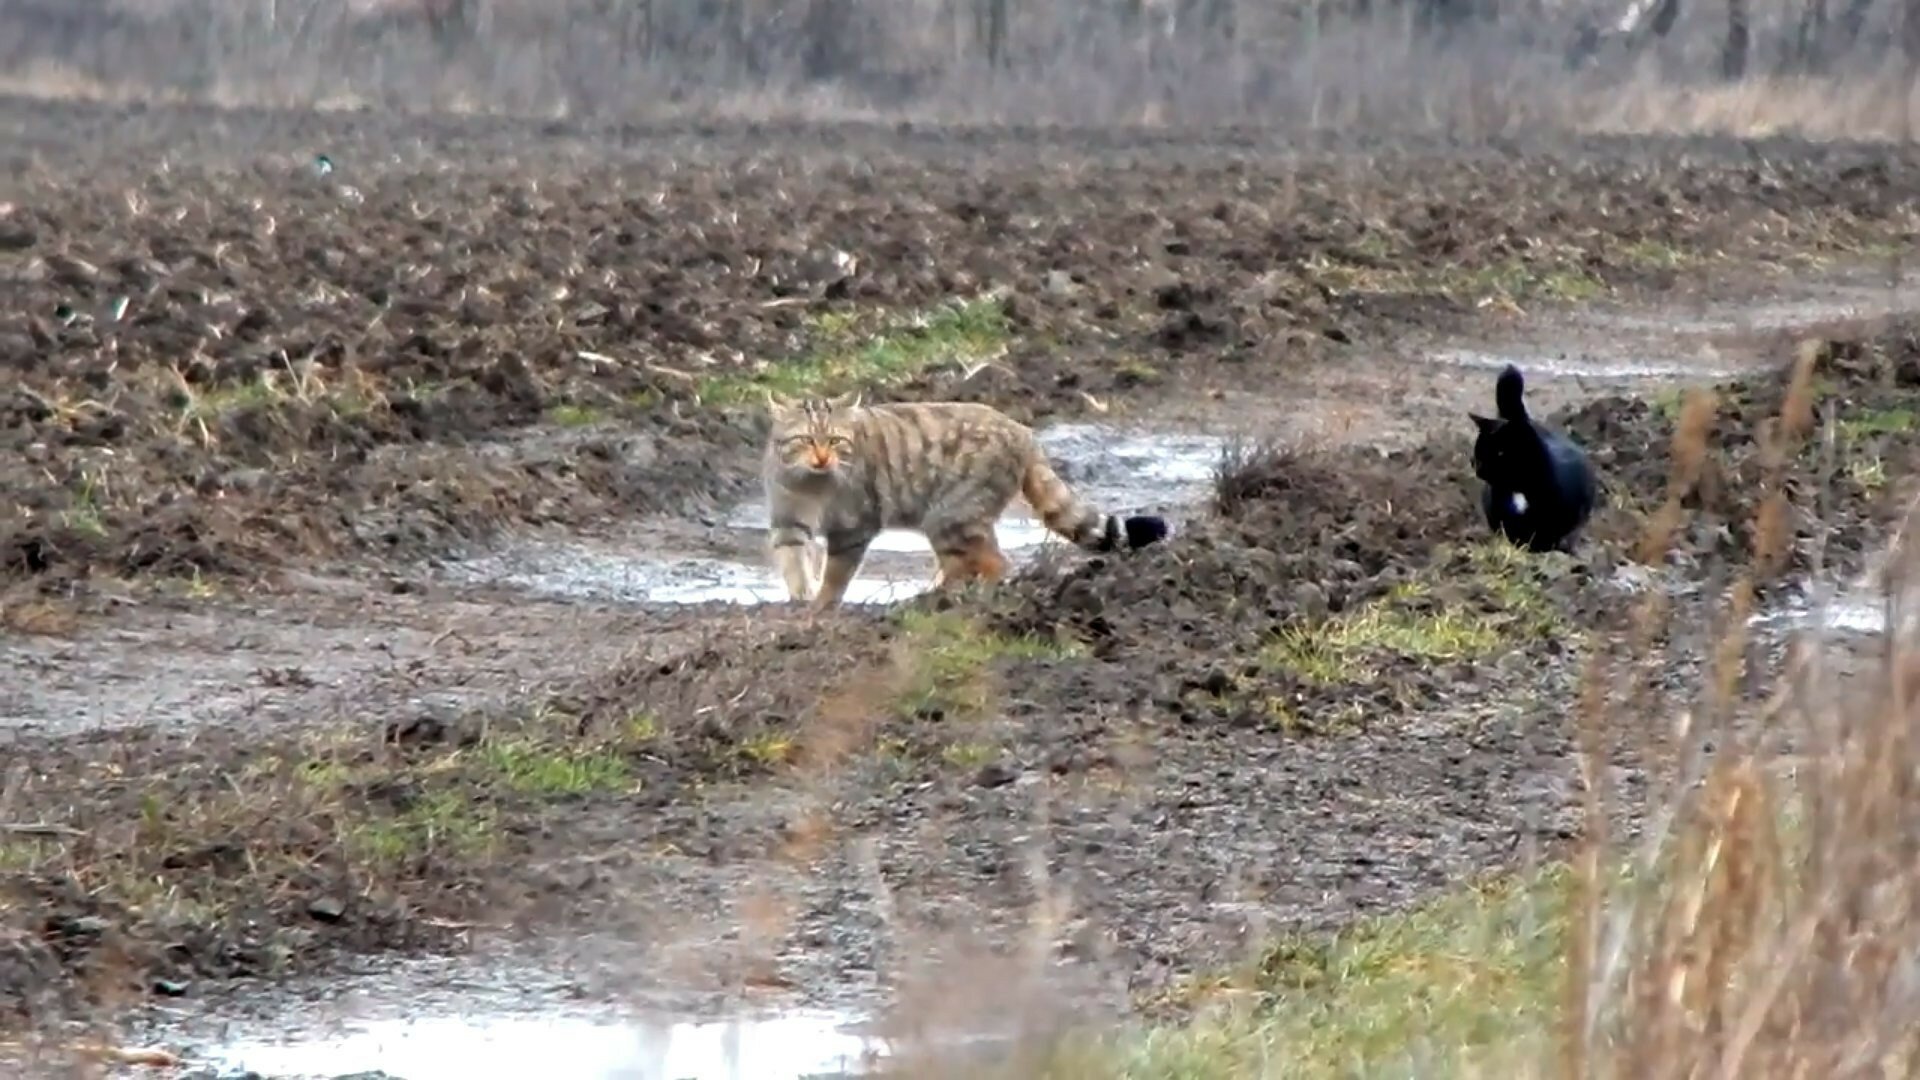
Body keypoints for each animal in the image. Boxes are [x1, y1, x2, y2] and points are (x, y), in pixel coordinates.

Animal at [764, 390, 1167, 611]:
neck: (813, 486)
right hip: (952, 523)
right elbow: (794, 563)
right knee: (966, 563)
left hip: (951, 516)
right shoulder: (787, 522)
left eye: (835, 441)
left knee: (995, 563)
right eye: (804, 439)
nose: (822, 458)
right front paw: (801, 597)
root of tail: (1025, 433)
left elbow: (836, 574)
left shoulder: (854, 526)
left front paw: (820, 605)